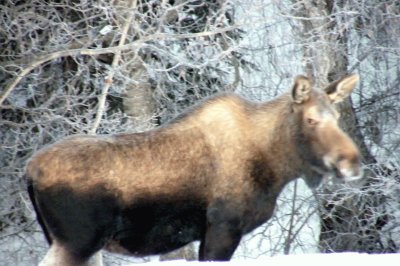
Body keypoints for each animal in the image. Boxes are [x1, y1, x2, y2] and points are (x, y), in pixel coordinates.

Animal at [25, 74, 362, 264]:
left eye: (336, 116)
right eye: (311, 119)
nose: (352, 162)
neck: (275, 167)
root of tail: (29, 171)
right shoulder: (223, 226)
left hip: (74, 242)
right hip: (78, 241)